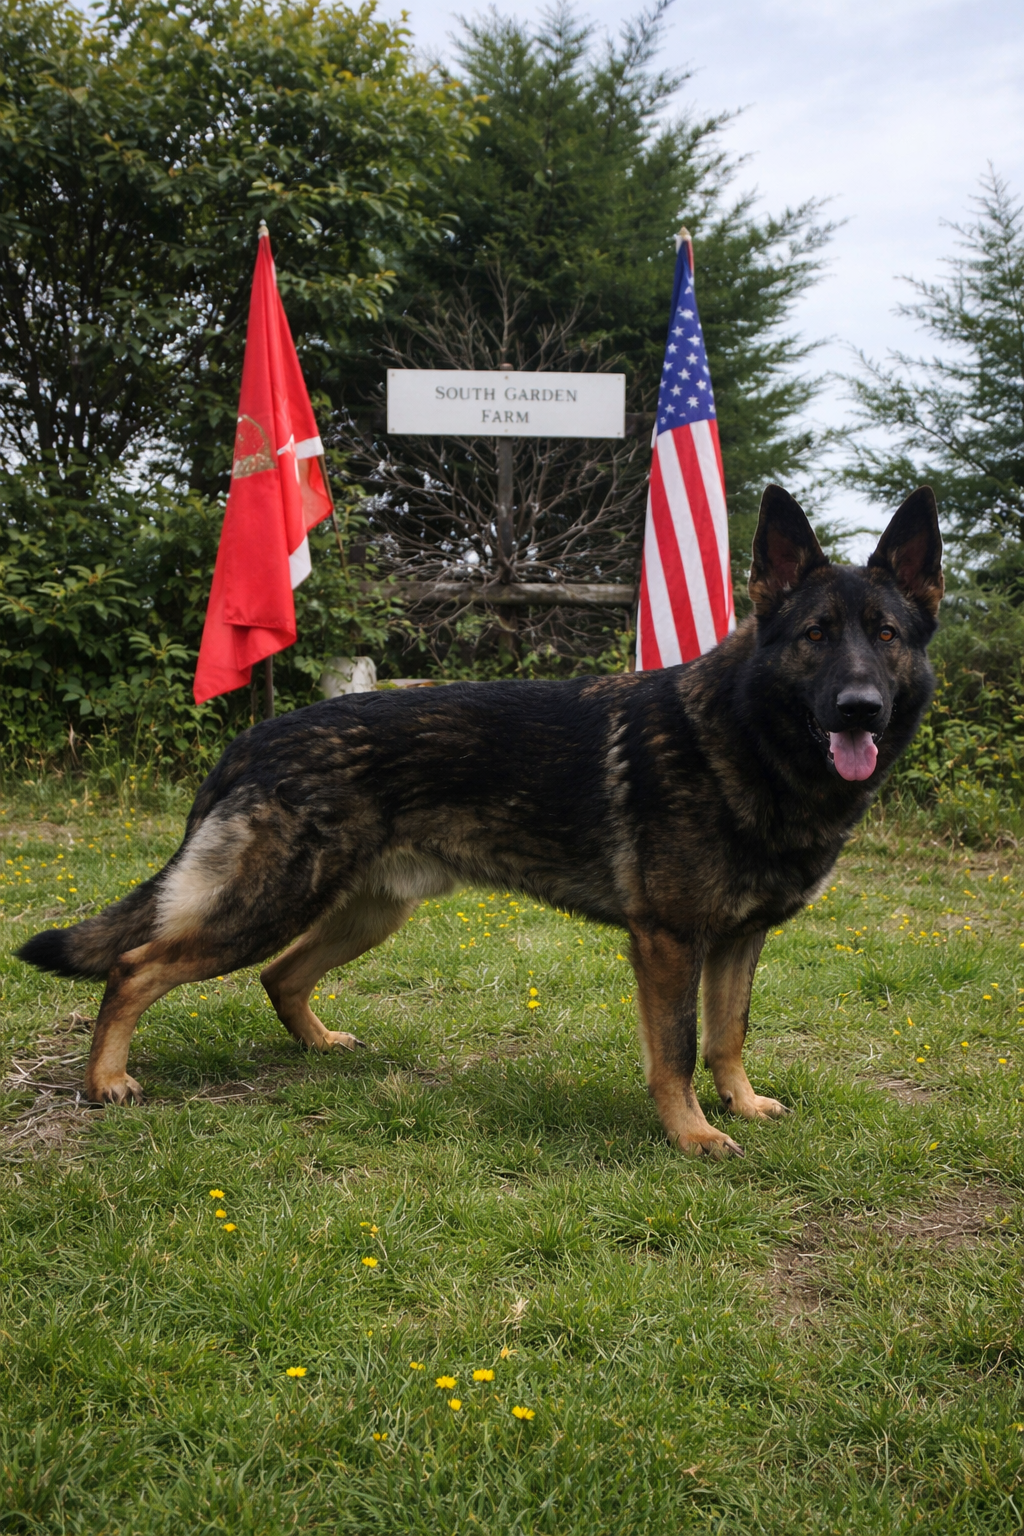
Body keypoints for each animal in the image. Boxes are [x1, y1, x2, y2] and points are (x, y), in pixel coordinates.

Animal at [17, 484, 942, 1155]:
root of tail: (257, 735)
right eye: (815, 635)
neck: (749, 742)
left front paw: (740, 1104)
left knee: (278, 976)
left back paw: (317, 1044)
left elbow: (729, 1034)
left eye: (886, 635)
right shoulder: (669, 943)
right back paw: (105, 1082)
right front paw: (691, 1134)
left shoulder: (738, 941)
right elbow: (677, 1050)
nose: (860, 709)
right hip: (265, 907)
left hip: (365, 914)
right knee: (135, 967)